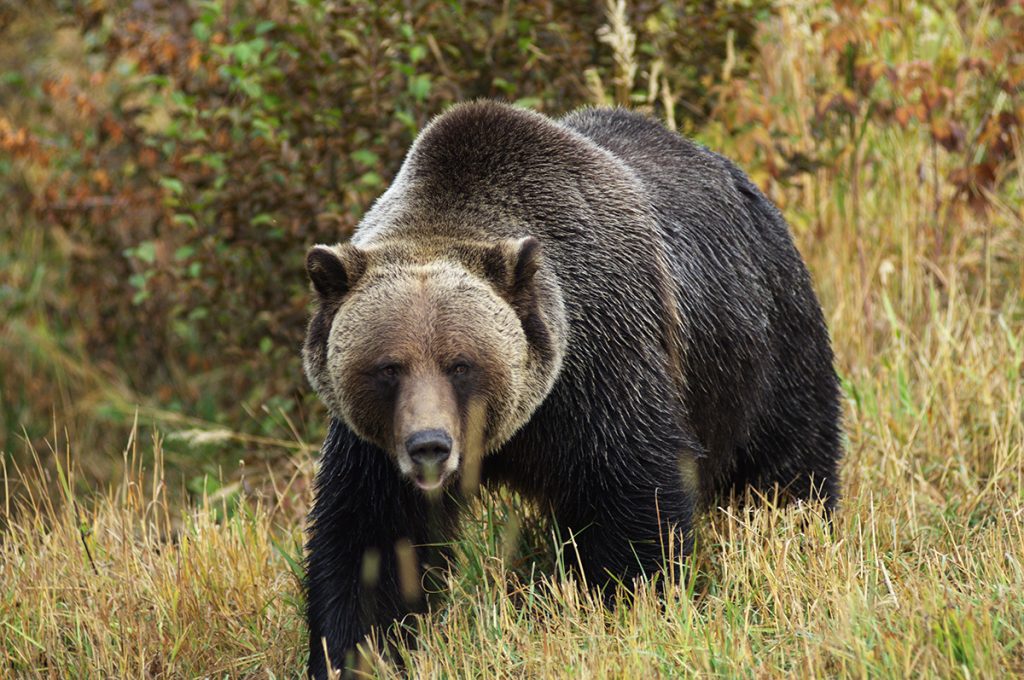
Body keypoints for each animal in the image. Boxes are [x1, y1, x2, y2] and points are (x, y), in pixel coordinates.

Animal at [302, 101, 841, 677]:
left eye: (460, 364)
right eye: (389, 367)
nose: (430, 446)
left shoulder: (601, 367)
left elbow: (633, 499)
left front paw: (624, 609)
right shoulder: (375, 447)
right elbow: (370, 541)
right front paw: (356, 651)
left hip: (763, 345)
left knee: (788, 463)